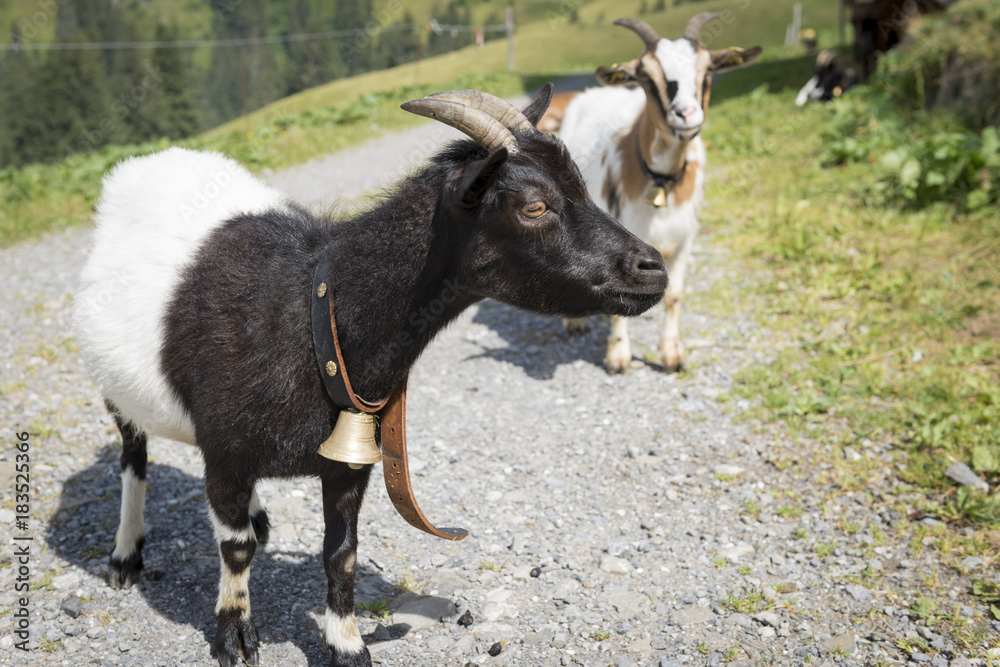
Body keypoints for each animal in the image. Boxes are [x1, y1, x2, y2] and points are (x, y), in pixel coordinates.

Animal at [72, 84, 667, 667]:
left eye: (583, 186)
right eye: (534, 206)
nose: (653, 268)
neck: (310, 312)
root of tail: (152, 159)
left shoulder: (347, 462)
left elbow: (341, 554)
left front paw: (347, 644)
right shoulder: (224, 453)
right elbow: (234, 548)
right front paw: (234, 636)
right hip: (115, 395)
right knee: (133, 460)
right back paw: (125, 554)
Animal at [557, 15, 760, 372]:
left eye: (708, 70)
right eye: (646, 77)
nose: (687, 115)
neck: (661, 184)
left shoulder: (684, 239)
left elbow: (675, 295)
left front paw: (671, 355)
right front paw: (618, 356)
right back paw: (574, 323)